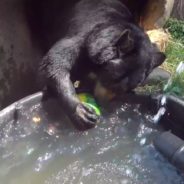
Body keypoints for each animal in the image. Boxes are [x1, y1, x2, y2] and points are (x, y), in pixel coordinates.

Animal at [39, 0, 166, 130]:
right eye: (113, 79)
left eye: (128, 88)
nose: (103, 102)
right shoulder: (81, 39)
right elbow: (54, 64)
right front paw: (81, 112)